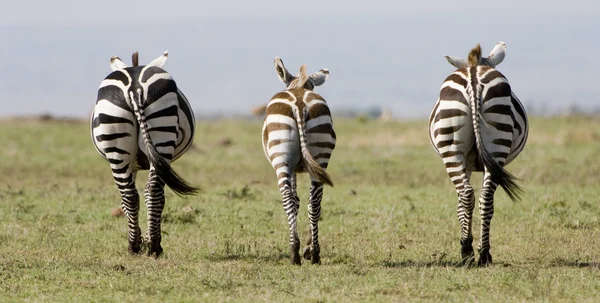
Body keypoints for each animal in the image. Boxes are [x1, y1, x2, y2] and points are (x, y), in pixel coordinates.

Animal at [90, 51, 197, 258]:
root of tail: (134, 87)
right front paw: (145, 239)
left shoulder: (133, 165)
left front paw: (143, 239)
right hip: (157, 138)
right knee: (147, 192)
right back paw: (149, 245)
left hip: (126, 143)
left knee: (137, 194)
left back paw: (140, 245)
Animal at [262, 57, 336, 266]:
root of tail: (300, 102)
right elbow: (306, 203)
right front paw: (308, 249)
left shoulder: (292, 169)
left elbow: (295, 201)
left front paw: (301, 247)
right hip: (320, 154)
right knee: (315, 203)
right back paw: (315, 253)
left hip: (281, 159)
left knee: (288, 198)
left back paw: (294, 253)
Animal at [428, 44, 528, 268]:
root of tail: (473, 76)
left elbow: (461, 205)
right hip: (493, 146)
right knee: (482, 197)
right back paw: (481, 253)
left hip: (457, 148)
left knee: (471, 195)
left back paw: (470, 251)